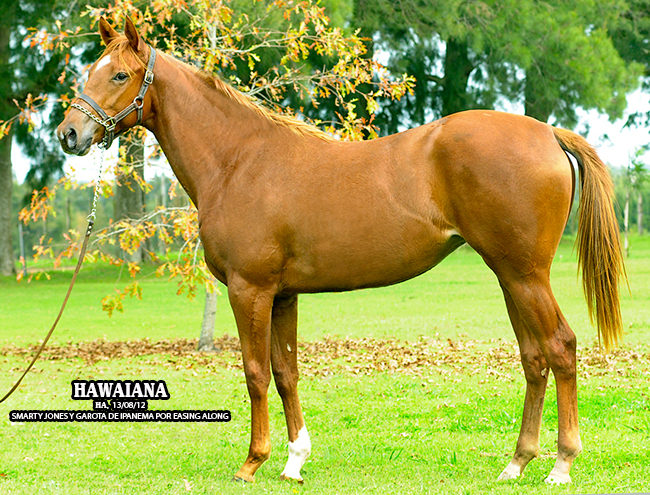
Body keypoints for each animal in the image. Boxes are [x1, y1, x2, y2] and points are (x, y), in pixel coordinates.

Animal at [56, 17, 625, 485]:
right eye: (89, 71)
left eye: (119, 75)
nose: (69, 134)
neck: (239, 160)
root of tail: (547, 133)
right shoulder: (282, 295)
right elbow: (286, 373)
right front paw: (293, 461)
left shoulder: (249, 289)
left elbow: (255, 373)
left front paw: (252, 462)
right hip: (510, 276)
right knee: (534, 357)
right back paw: (516, 463)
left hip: (525, 274)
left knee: (561, 347)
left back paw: (560, 464)